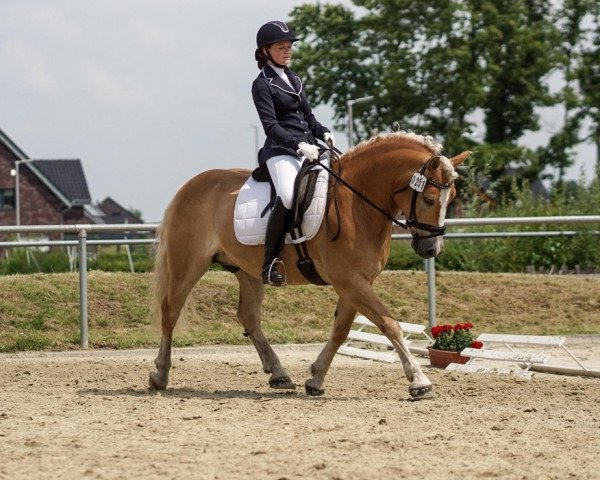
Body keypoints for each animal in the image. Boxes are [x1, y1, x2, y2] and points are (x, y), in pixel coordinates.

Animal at [149, 130, 468, 398]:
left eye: (451, 196)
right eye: (429, 199)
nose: (432, 249)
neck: (357, 203)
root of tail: (187, 187)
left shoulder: (356, 283)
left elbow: (341, 330)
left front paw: (315, 379)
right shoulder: (351, 280)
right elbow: (389, 324)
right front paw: (419, 381)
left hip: (248, 272)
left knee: (248, 317)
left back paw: (279, 374)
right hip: (187, 265)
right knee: (170, 312)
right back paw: (160, 375)